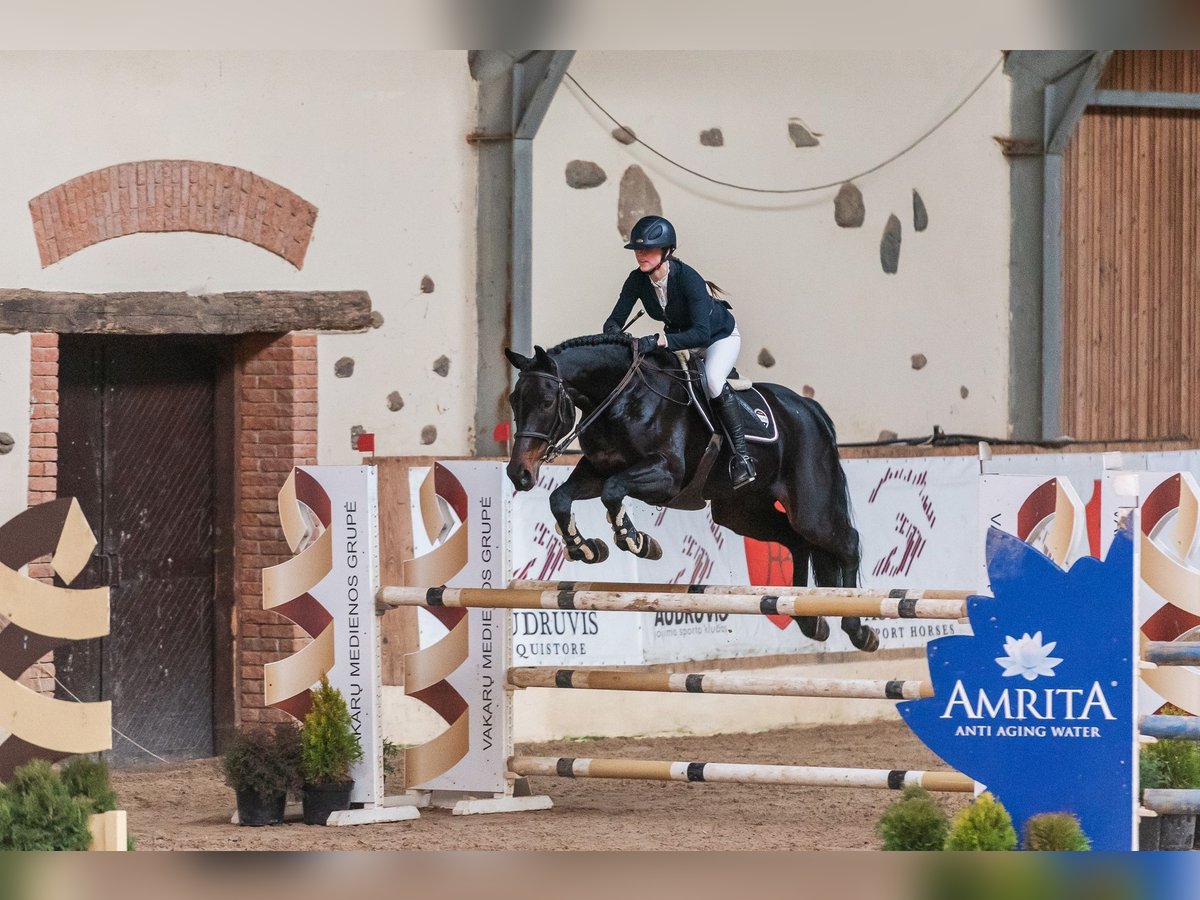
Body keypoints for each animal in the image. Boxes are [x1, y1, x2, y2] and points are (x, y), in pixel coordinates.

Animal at [501, 336, 878, 652]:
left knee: (843, 542)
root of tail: (809, 410)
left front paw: (638, 542)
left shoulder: (666, 476)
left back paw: (858, 630)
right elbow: (560, 498)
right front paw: (586, 548)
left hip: (810, 507)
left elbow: (613, 491)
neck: (621, 397)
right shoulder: (595, 471)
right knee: (796, 542)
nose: (519, 474)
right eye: (514, 401)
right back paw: (807, 618)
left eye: (546, 401)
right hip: (741, 512)